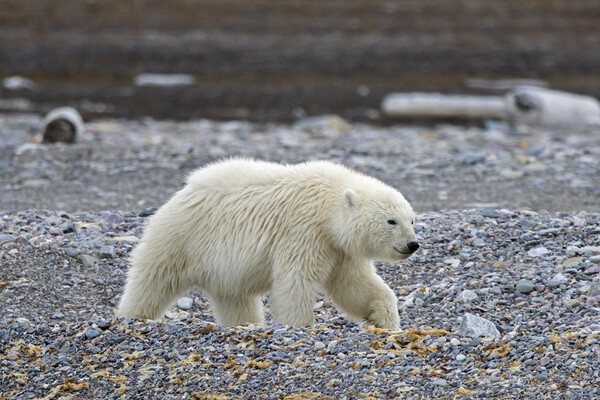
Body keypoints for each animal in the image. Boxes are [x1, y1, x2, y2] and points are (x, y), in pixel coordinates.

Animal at [117, 159, 418, 328]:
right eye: (391, 221)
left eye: (412, 219)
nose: (412, 244)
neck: (327, 202)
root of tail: (179, 195)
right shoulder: (304, 231)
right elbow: (295, 282)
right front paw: (298, 325)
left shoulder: (339, 248)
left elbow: (353, 285)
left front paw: (382, 317)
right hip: (180, 238)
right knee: (152, 280)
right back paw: (132, 316)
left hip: (221, 270)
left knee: (235, 300)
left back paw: (245, 324)